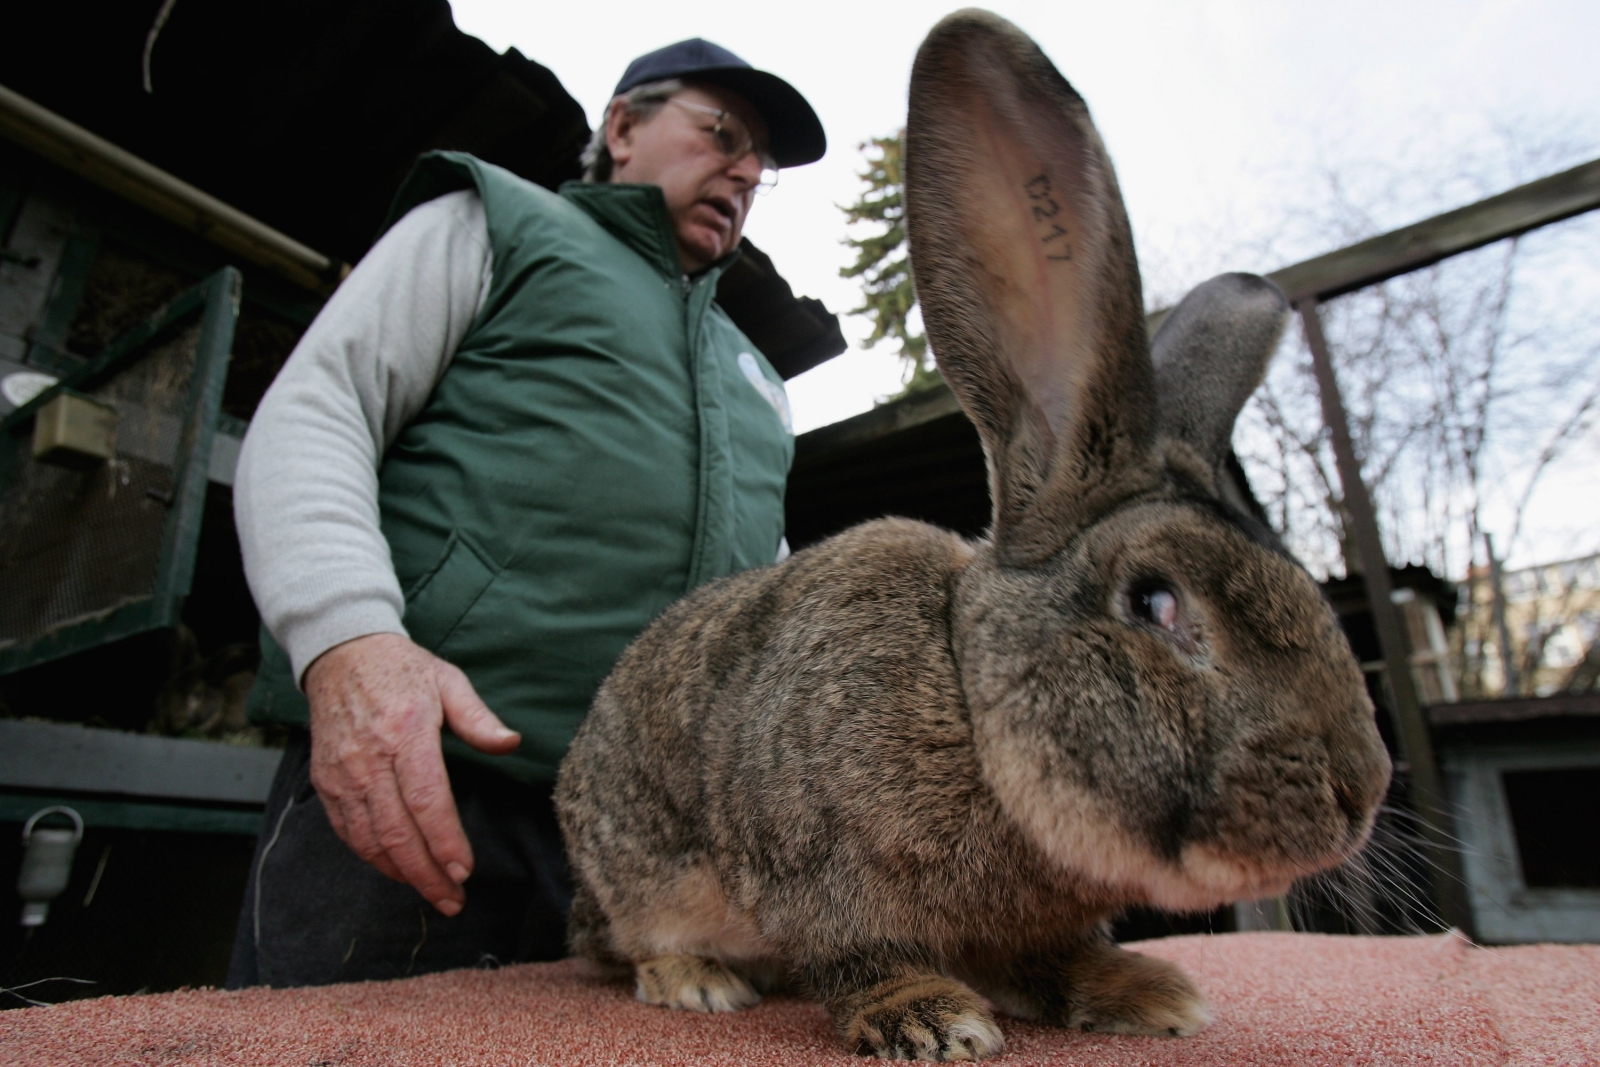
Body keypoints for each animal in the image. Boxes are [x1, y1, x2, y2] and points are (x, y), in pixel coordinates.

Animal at [555, 8, 1392, 1061]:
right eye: (1156, 601)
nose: (1361, 795)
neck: (968, 697)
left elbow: (1055, 958)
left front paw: (1142, 990)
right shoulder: (818, 867)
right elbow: (857, 956)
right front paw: (929, 1015)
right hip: (633, 874)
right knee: (625, 944)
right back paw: (695, 977)